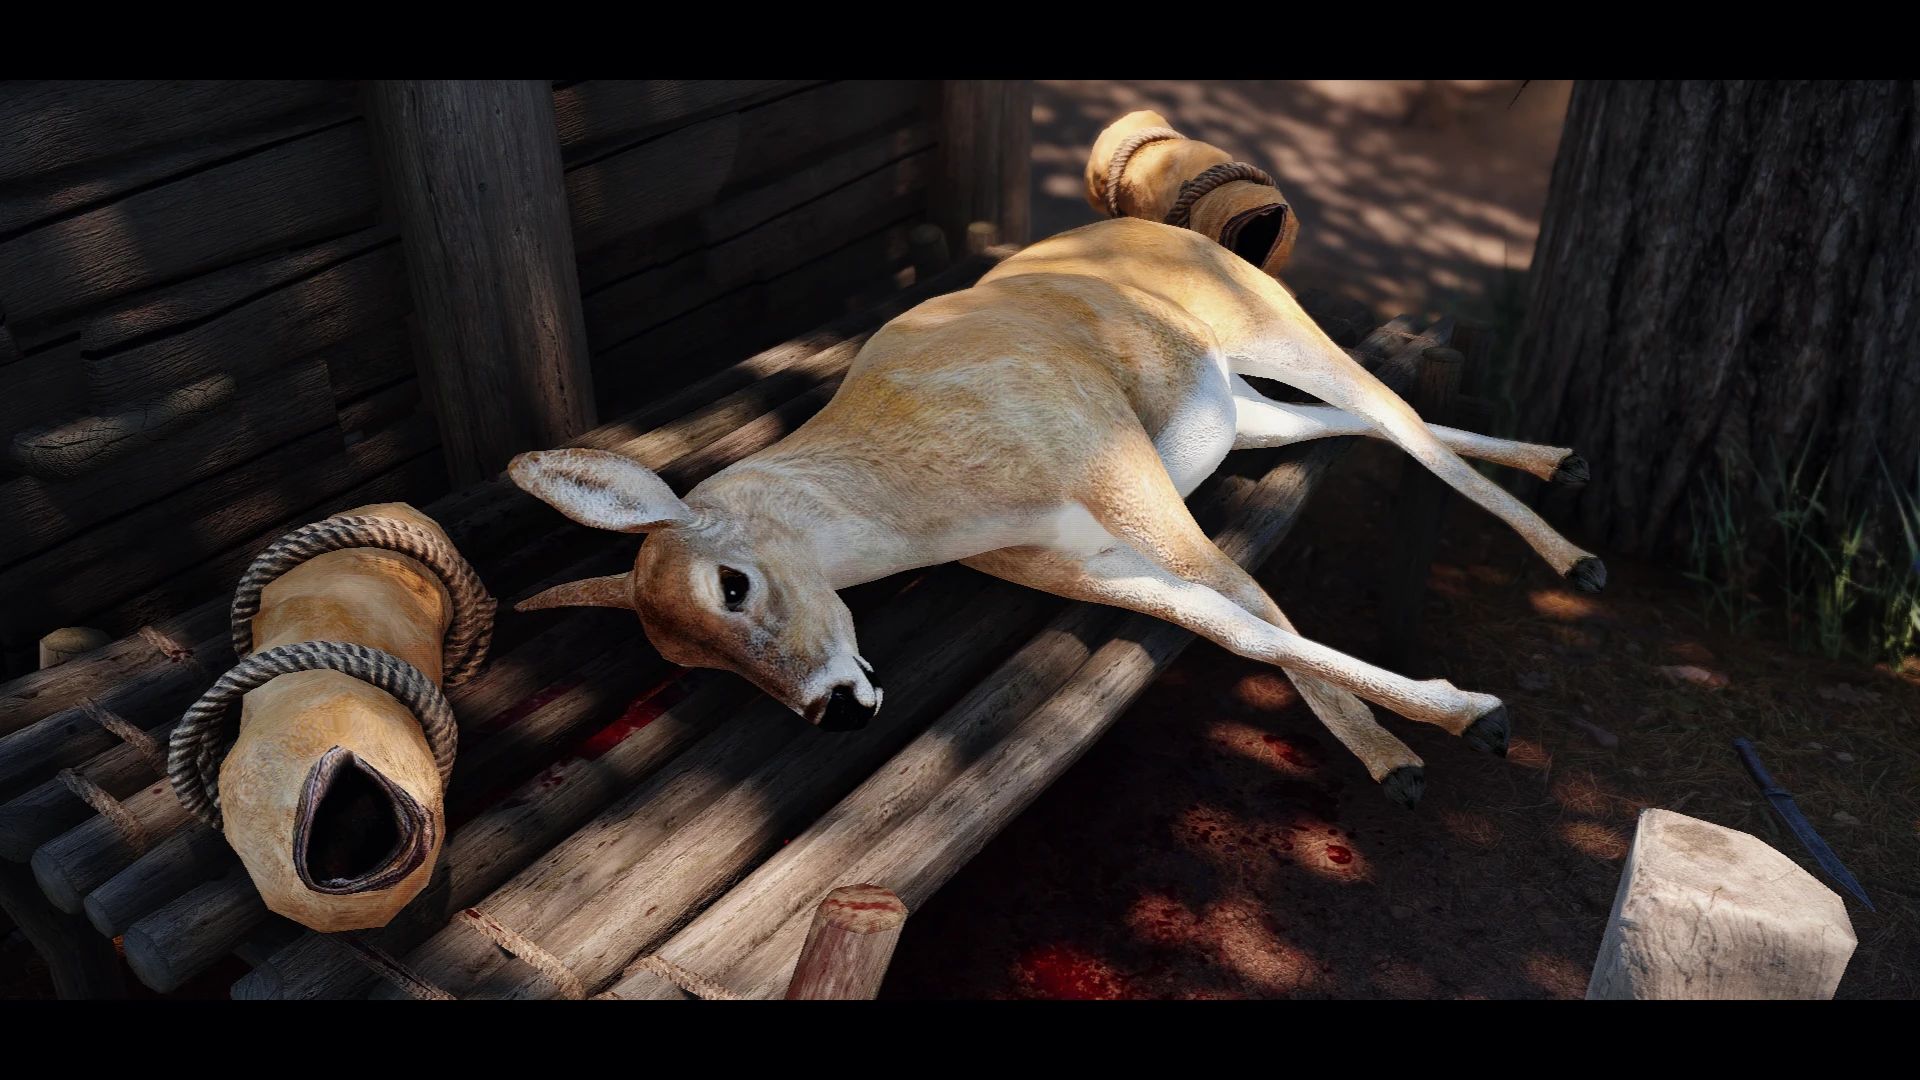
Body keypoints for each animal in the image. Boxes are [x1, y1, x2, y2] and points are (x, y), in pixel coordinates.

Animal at [508, 217, 1602, 806]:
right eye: (693, 668)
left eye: (730, 585)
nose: (833, 710)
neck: (936, 489)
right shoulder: (1087, 562)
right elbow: (1239, 630)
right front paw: (1427, 740)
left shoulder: (1132, 489)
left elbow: (1254, 609)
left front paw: (1442, 735)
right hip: (1240, 415)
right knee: (1362, 425)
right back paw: (1567, 472)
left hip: (1274, 332)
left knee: (1401, 420)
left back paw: (1577, 553)